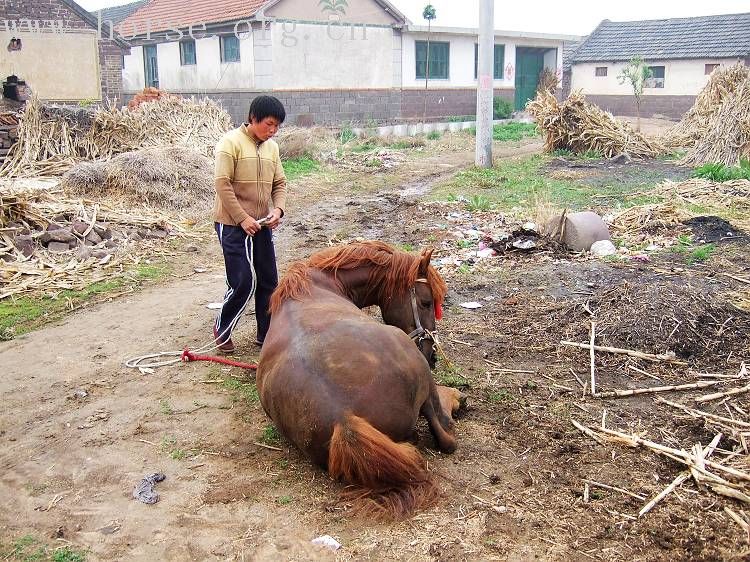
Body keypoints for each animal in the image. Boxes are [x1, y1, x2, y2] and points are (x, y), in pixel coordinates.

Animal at [258, 240, 468, 516]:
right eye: (425, 302)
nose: (431, 354)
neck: (317, 282)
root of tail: (342, 416)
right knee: (444, 431)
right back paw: (455, 398)